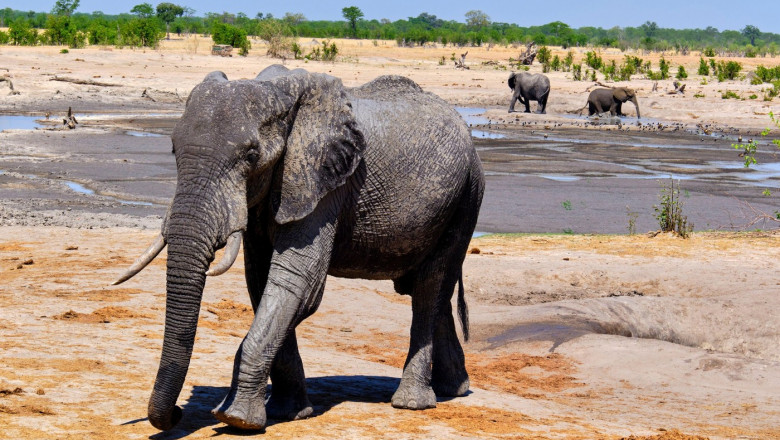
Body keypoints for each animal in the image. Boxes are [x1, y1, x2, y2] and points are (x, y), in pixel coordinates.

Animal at [112, 66, 484, 434]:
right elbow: (261, 280)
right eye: (174, 150)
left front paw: (236, 418)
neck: (279, 94)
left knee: (429, 288)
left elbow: (297, 282)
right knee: (431, 292)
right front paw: (286, 412)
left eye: (251, 156)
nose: (176, 413)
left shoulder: (325, 184)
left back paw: (411, 402)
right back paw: (454, 389)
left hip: (466, 197)